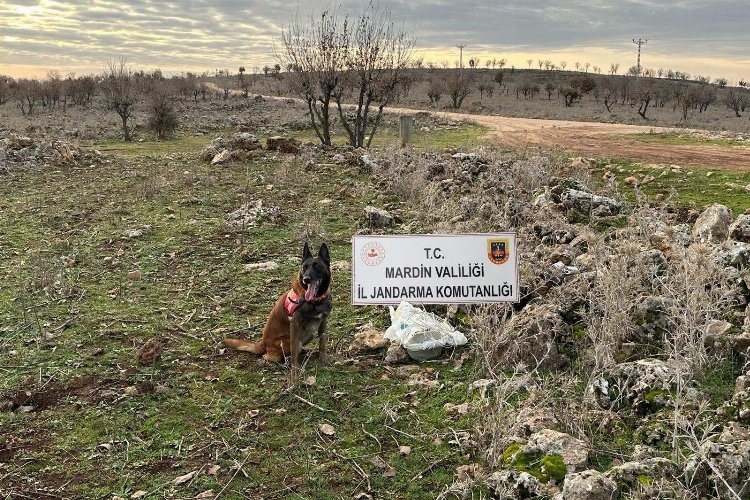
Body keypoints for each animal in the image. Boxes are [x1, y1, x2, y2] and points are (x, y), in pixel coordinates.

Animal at [225, 242, 334, 378]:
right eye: (305, 267)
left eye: (317, 267)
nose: (306, 279)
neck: (315, 301)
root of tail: (262, 343)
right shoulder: (295, 326)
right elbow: (294, 353)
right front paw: (295, 371)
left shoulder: (323, 322)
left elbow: (322, 344)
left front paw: (323, 361)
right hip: (285, 342)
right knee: (272, 355)